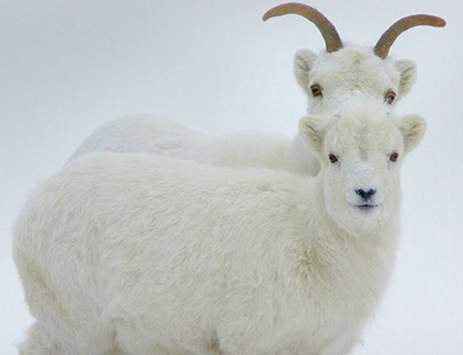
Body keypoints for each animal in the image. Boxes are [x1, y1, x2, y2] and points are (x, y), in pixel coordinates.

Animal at [14, 105, 428, 355]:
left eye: (393, 155)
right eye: (332, 156)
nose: (365, 193)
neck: (310, 237)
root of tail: (33, 202)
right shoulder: (250, 338)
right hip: (73, 322)